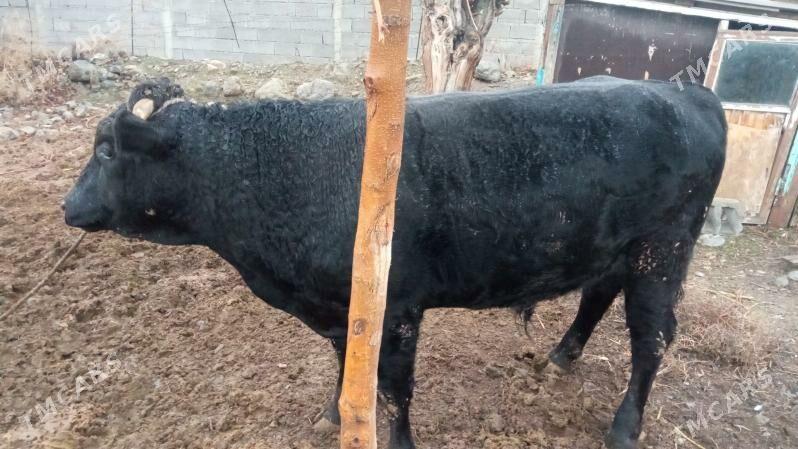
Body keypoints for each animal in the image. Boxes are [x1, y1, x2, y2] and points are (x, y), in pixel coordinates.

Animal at [64, 76, 726, 449]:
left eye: (105, 149)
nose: (68, 206)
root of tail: (683, 91)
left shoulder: (399, 306)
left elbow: (394, 388)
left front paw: (395, 439)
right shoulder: (342, 308)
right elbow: (347, 367)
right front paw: (333, 416)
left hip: (663, 252)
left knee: (650, 339)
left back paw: (624, 428)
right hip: (616, 249)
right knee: (597, 296)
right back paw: (560, 357)